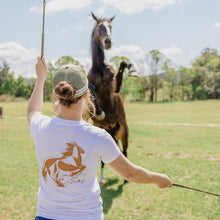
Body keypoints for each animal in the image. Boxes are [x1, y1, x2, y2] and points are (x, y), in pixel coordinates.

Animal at [87, 12, 132, 184]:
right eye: (100, 27)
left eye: (110, 26)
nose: (108, 42)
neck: (99, 68)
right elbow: (91, 91)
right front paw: (100, 113)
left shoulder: (114, 88)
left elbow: (121, 67)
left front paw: (128, 65)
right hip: (105, 133)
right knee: (104, 159)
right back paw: (101, 178)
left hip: (124, 132)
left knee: (125, 151)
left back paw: (126, 179)